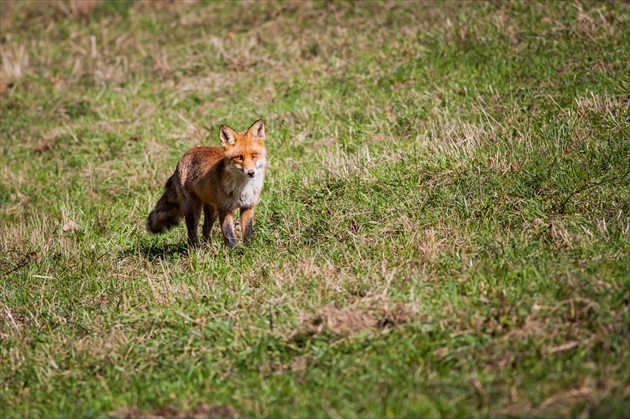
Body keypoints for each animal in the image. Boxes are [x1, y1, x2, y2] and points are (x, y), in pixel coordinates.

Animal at [147, 120, 268, 248]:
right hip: (193, 210)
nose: (251, 173)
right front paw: (234, 250)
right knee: (192, 233)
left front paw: (248, 248)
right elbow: (229, 233)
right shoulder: (225, 209)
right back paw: (196, 249)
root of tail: (182, 158)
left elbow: (247, 231)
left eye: (254, 155)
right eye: (239, 157)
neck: (243, 188)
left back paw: (209, 248)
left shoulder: (248, 206)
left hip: (212, 211)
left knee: (205, 228)